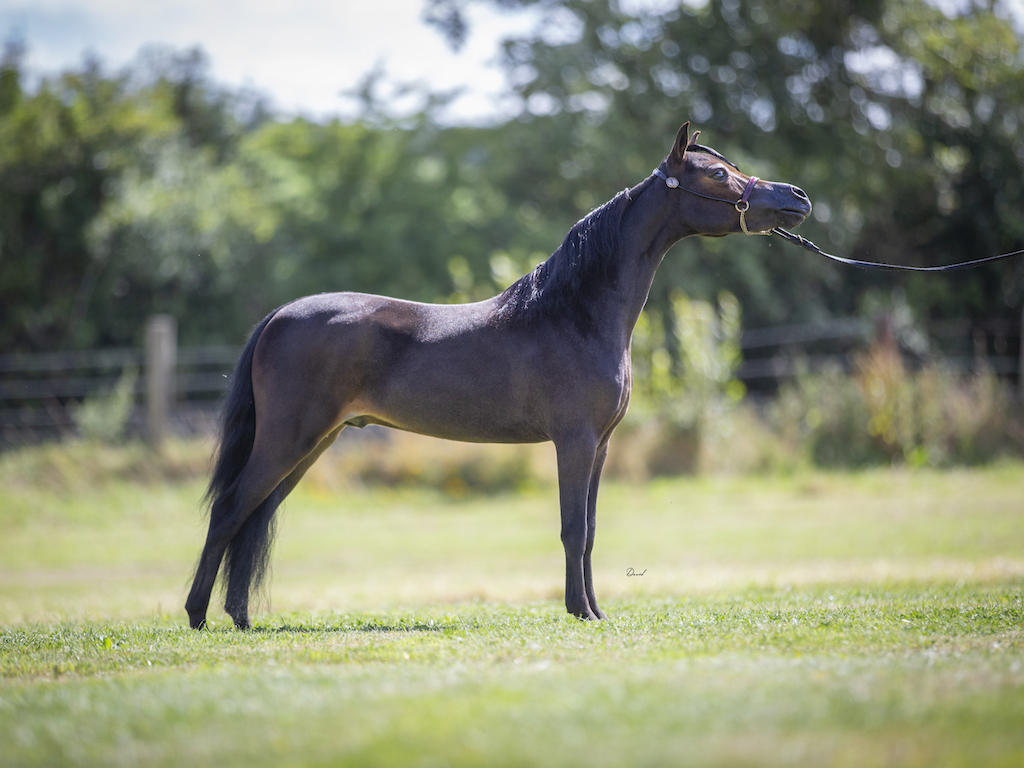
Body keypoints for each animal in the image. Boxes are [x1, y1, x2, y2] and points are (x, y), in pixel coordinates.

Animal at [185, 121, 812, 629]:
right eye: (719, 173)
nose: (798, 197)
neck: (573, 314)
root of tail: (279, 316)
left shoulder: (601, 446)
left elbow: (589, 530)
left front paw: (595, 609)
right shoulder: (574, 441)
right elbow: (572, 527)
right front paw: (579, 612)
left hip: (313, 443)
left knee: (257, 513)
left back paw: (240, 617)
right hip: (289, 438)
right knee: (230, 510)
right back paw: (197, 616)